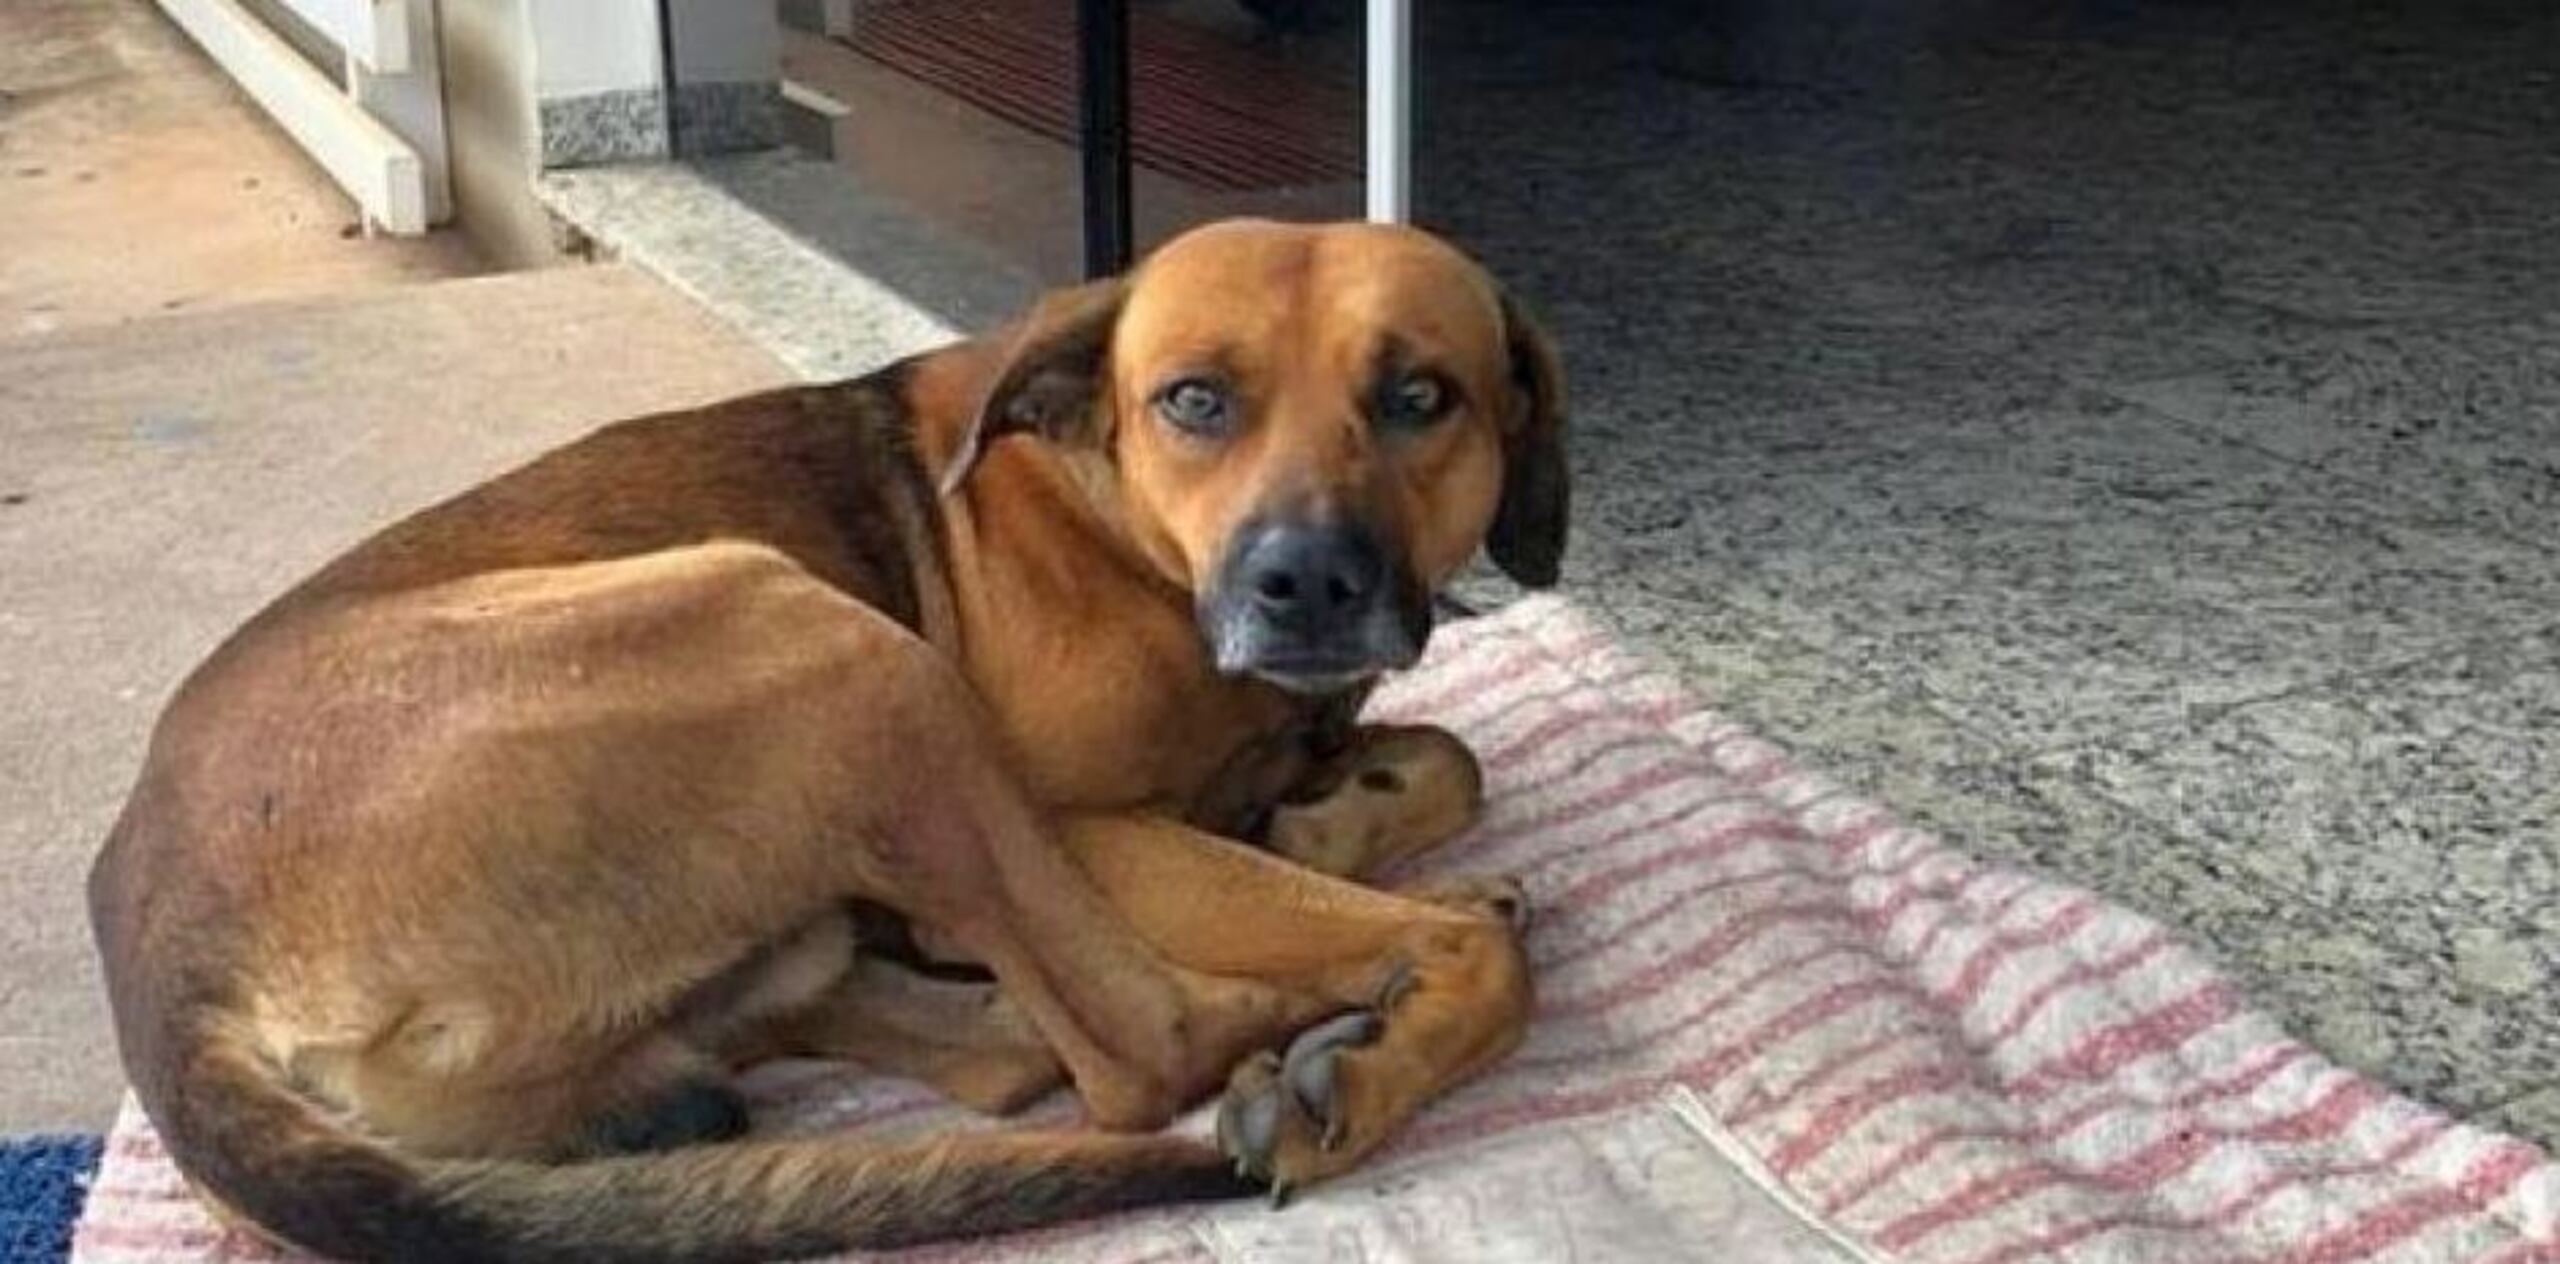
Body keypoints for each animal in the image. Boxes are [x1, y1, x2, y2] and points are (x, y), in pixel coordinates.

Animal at [90, 220, 1566, 1264]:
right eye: (1195, 400)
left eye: (1422, 396)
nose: (1305, 582)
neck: (1112, 511)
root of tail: (159, 941)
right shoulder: (1080, 826)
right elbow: (1454, 940)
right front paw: (1389, 1004)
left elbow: (1449, 757)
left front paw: (1328, 814)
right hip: (823, 640)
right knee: (1141, 1046)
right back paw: (1329, 1016)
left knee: (996, 1045)